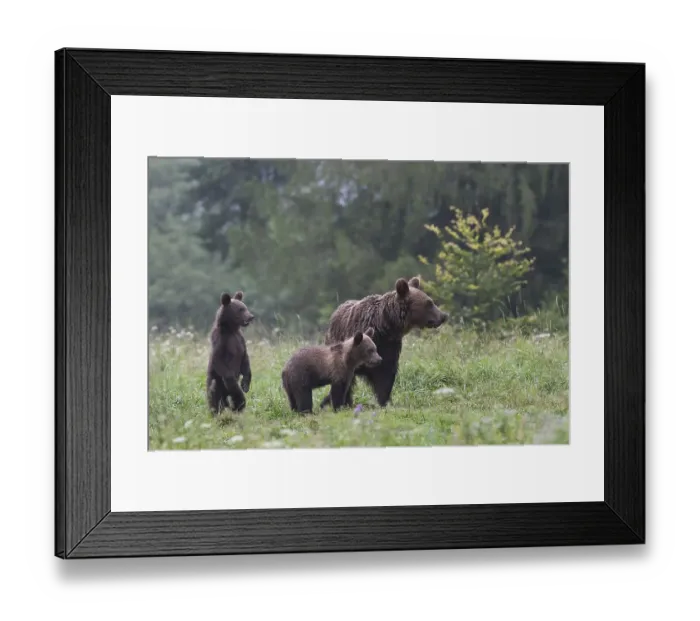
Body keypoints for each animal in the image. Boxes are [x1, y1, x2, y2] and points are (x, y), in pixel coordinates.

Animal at [319, 276, 448, 409]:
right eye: (429, 303)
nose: (443, 316)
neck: (384, 326)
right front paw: (340, 402)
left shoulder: (388, 348)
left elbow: (385, 377)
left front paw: (385, 402)